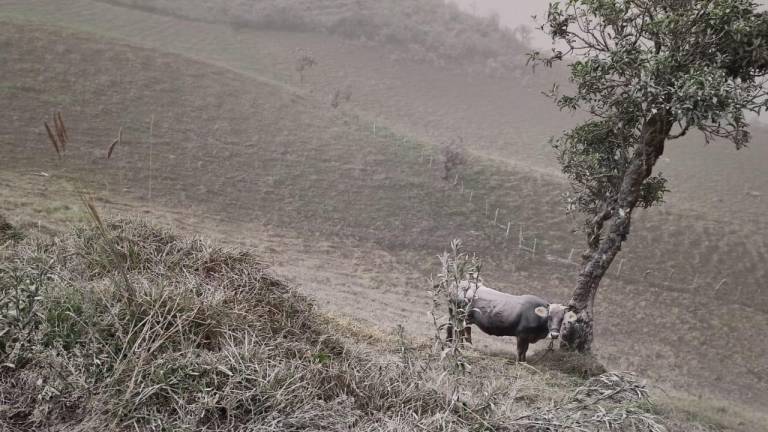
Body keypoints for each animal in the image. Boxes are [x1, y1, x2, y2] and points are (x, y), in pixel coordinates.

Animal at [444, 280, 576, 362]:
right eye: (549, 316)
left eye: (562, 318)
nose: (554, 334)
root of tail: (459, 283)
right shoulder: (522, 335)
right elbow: (520, 350)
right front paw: (518, 363)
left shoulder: (527, 337)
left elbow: (525, 350)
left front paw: (524, 362)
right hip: (460, 316)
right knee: (458, 330)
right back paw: (458, 346)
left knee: (457, 329)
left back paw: (454, 344)